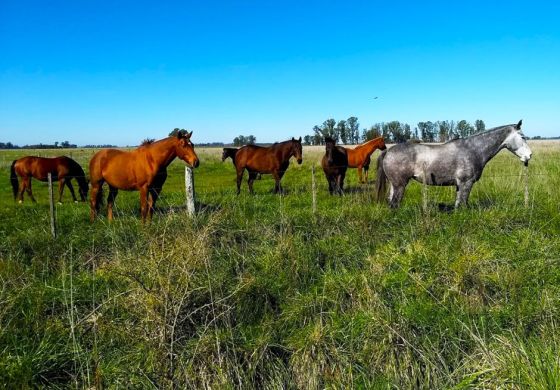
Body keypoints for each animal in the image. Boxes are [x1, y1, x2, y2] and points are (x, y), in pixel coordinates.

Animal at [374, 121, 532, 207]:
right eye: (523, 137)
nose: (529, 156)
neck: (473, 149)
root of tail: (388, 151)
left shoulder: (459, 185)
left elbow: (458, 205)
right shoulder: (466, 183)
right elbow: (463, 204)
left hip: (394, 185)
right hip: (400, 185)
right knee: (394, 204)